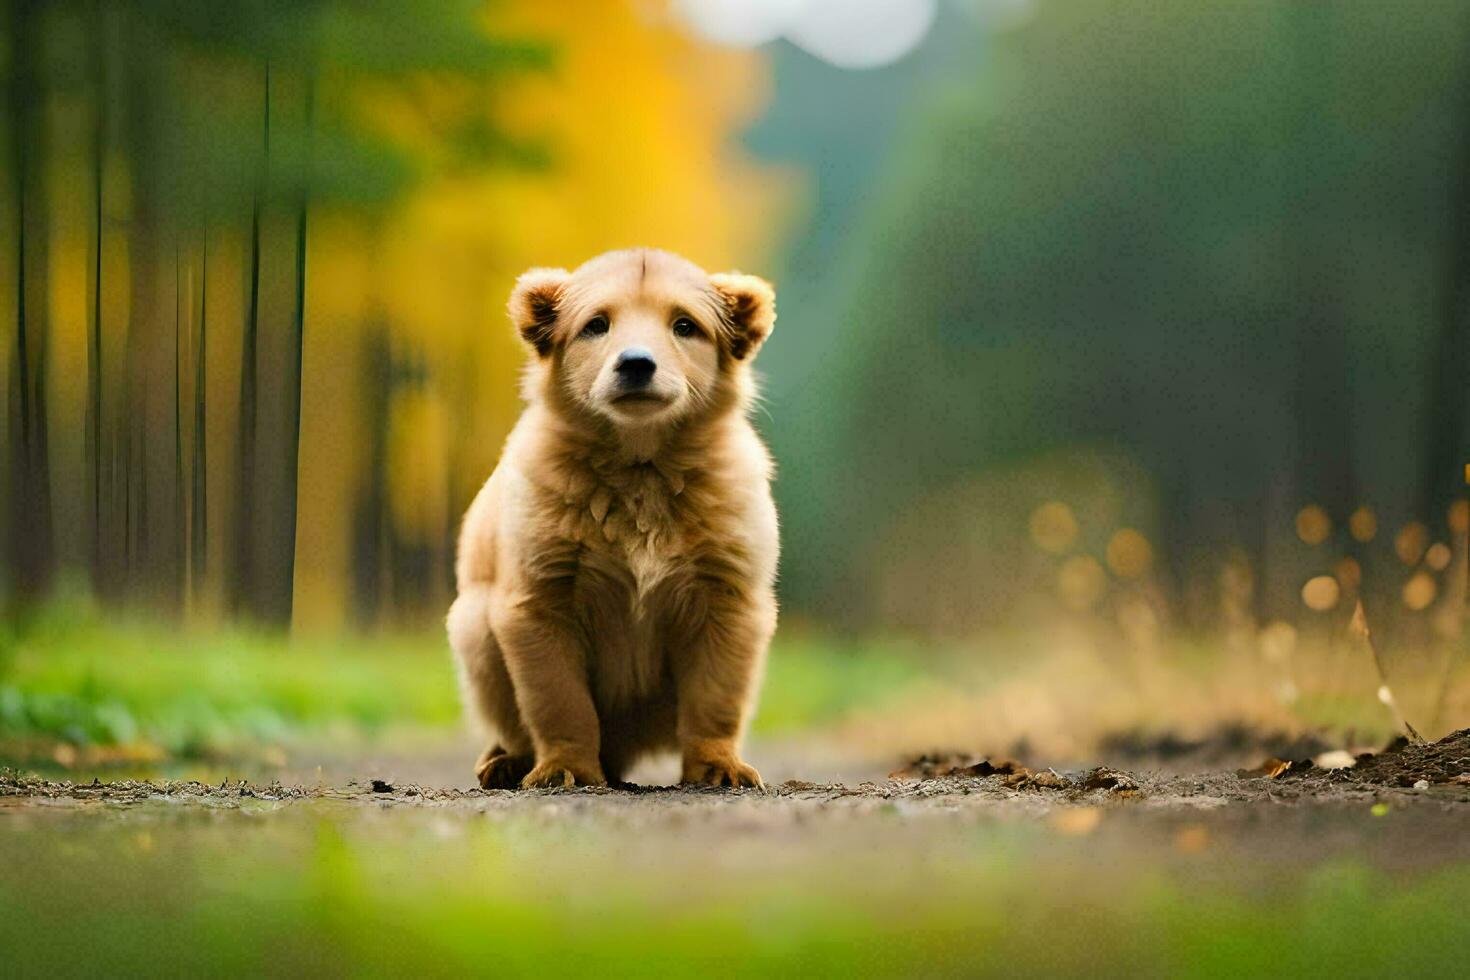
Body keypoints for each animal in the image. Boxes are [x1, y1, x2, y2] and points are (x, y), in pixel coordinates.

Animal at [446, 249, 782, 793]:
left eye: (685, 326)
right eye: (596, 325)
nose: (636, 364)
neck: (640, 468)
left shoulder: (727, 599)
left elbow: (715, 698)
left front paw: (718, 765)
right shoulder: (539, 601)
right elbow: (559, 701)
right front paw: (566, 767)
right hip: (473, 626)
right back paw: (506, 761)